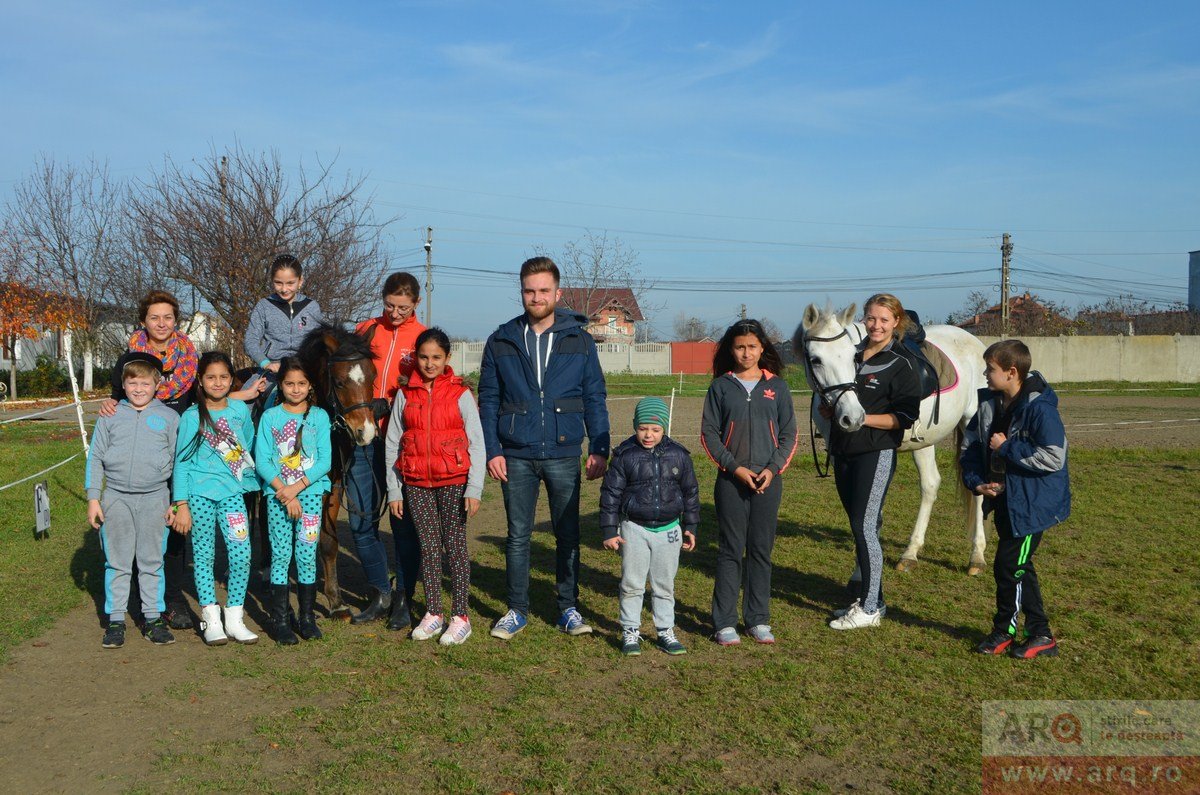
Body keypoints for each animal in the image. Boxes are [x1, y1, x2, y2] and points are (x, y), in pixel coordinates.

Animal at [295, 324, 379, 624]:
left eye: (372, 376)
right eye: (340, 382)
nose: (366, 432)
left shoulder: (334, 489)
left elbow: (329, 544)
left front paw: (336, 602)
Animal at [796, 302, 984, 576]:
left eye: (853, 356)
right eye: (816, 360)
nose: (852, 417)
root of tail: (977, 344)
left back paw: (977, 556)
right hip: (924, 441)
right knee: (930, 485)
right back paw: (911, 552)